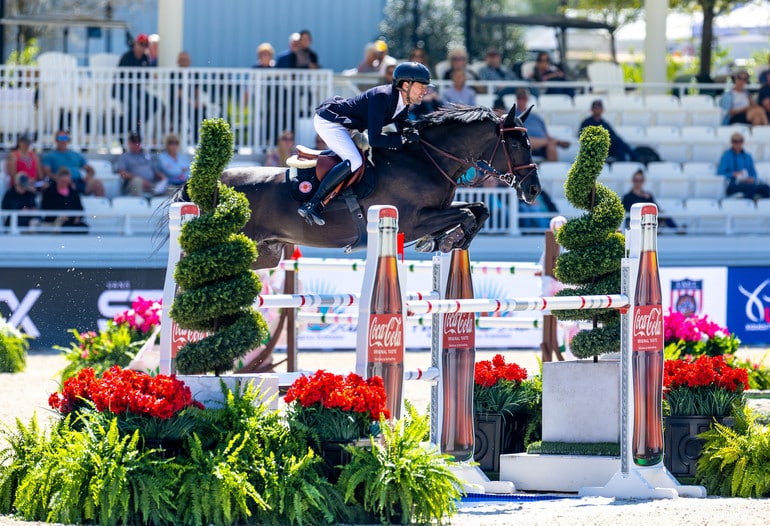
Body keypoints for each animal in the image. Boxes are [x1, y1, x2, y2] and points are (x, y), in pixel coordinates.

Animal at [177, 103, 536, 270]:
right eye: (518, 144)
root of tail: (210, 184)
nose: (533, 190)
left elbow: (479, 209)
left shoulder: (437, 210)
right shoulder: (412, 220)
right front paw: (445, 241)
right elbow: (469, 213)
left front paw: (446, 241)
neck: (426, 158)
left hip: (264, 254)